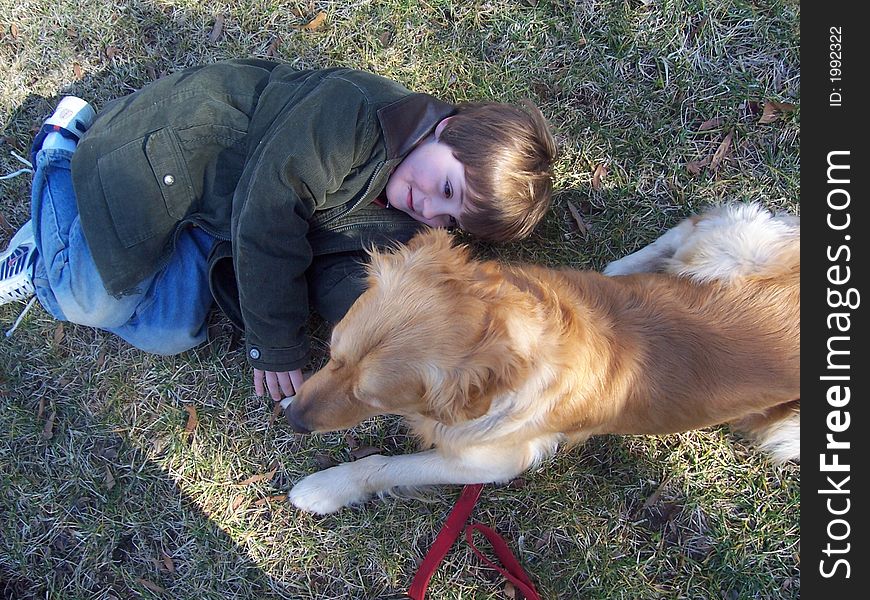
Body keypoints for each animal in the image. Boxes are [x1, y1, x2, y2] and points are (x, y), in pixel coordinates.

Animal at [282, 204, 800, 512]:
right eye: (332, 356)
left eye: (372, 399)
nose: (293, 421)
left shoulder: (492, 461)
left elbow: (383, 465)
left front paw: (325, 488)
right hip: (734, 247)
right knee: (688, 230)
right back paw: (619, 270)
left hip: (785, 432)